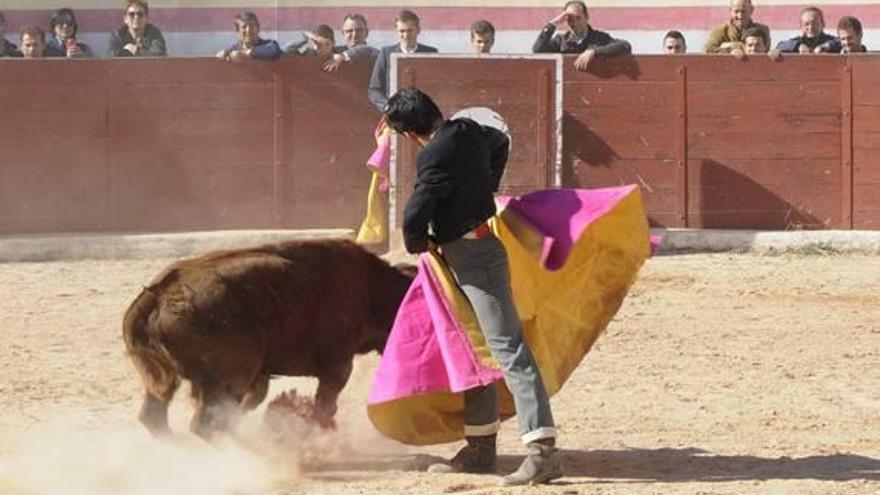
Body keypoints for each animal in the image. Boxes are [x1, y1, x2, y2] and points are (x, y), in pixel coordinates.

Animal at [120, 238, 416, 440]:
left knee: (155, 417)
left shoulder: (259, 375)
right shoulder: (338, 365)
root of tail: (160, 292)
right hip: (230, 377)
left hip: (169, 382)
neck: (372, 287)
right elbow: (325, 403)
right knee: (203, 424)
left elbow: (252, 401)